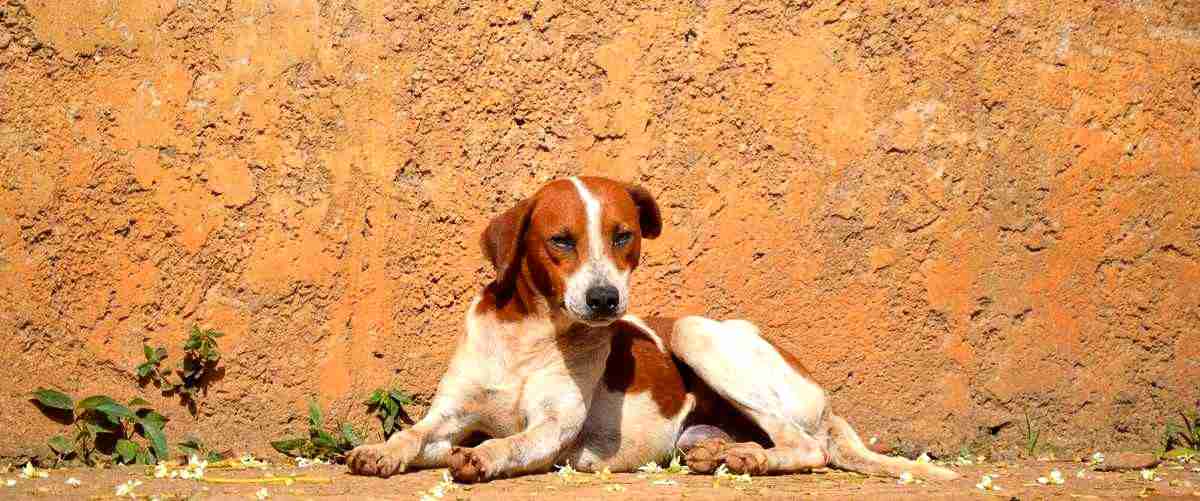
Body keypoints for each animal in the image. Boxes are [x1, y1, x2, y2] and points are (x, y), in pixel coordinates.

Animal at [345, 174, 955, 481]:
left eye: (624, 236)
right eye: (560, 241)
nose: (605, 299)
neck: (530, 336)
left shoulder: (554, 427)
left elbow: (513, 442)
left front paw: (486, 457)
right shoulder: (452, 417)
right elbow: (414, 435)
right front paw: (381, 451)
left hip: (695, 332)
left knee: (809, 447)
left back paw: (753, 458)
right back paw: (725, 455)